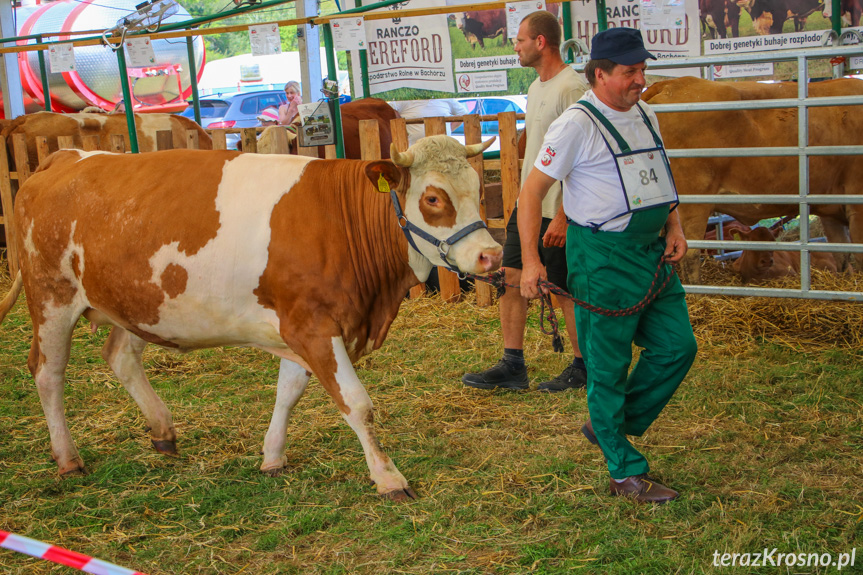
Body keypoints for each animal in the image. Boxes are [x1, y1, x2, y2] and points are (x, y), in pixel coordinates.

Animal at [0, 135, 502, 500]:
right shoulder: (313, 326)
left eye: (478, 190)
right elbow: (357, 405)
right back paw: (68, 459)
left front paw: (273, 456)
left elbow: (288, 392)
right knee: (47, 373)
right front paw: (388, 477)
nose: (491, 255)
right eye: (433, 198)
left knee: (120, 356)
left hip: (136, 304)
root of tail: (68, 157)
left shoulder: (297, 325)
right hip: (52, 298)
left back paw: (162, 431)